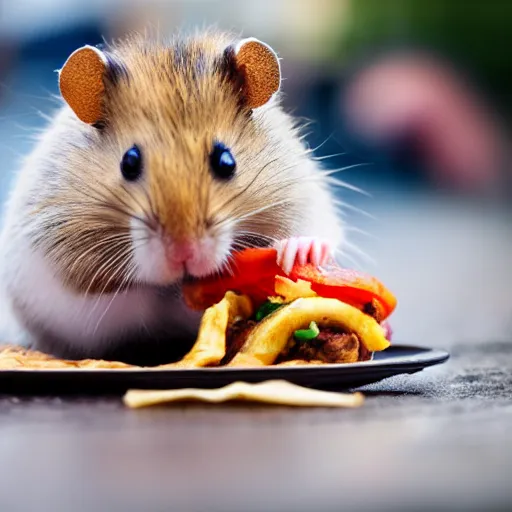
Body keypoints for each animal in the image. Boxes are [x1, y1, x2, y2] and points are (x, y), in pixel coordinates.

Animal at [0, 30, 346, 364]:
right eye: (129, 162)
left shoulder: (303, 197)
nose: (183, 254)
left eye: (226, 161)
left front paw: (298, 251)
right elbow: (133, 296)